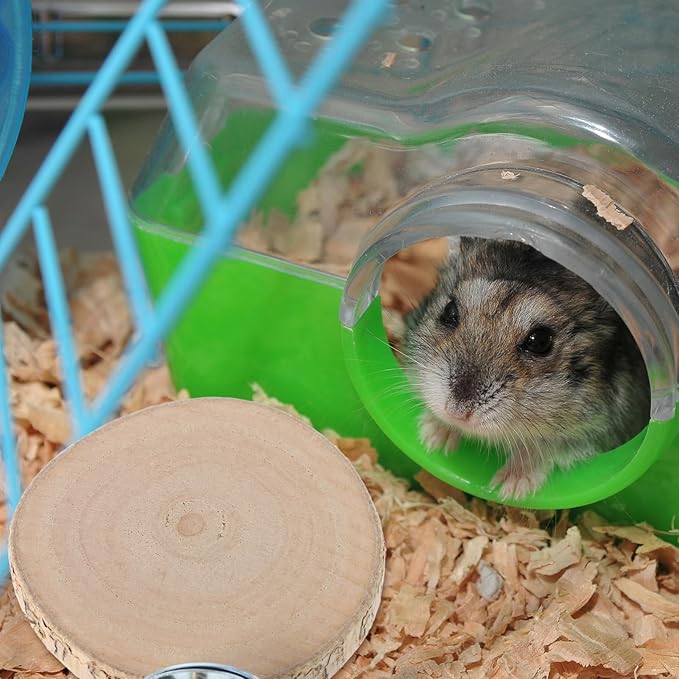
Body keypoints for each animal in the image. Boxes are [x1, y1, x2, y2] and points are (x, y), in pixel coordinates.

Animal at [403, 236, 650, 500]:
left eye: (540, 341)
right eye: (449, 311)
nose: (456, 412)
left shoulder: (600, 433)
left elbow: (547, 448)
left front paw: (508, 488)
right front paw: (432, 438)